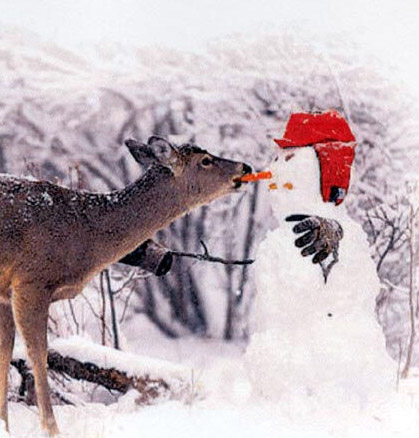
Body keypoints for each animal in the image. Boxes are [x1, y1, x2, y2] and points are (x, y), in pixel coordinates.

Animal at [0, 136, 251, 434]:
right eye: (206, 160)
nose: (245, 167)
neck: (81, 232)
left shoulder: (5, 292)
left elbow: (5, 353)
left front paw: (5, 426)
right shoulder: (31, 281)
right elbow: (38, 356)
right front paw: (53, 430)